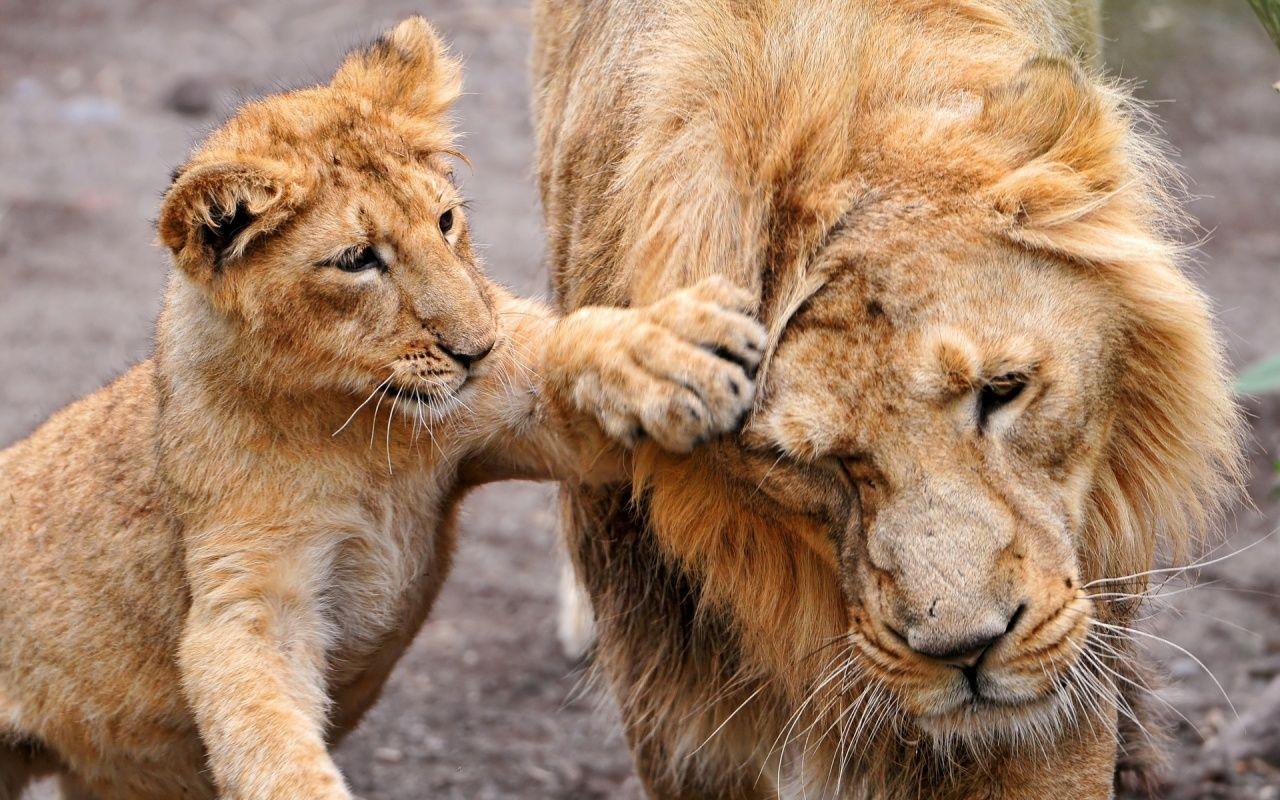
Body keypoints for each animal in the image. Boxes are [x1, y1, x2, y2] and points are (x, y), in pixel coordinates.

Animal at [0, 18, 768, 800]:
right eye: (357, 259)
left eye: (447, 220)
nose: (478, 349)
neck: (355, 428)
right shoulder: (245, 595)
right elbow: (270, 740)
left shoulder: (505, 424)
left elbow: (563, 347)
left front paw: (671, 350)